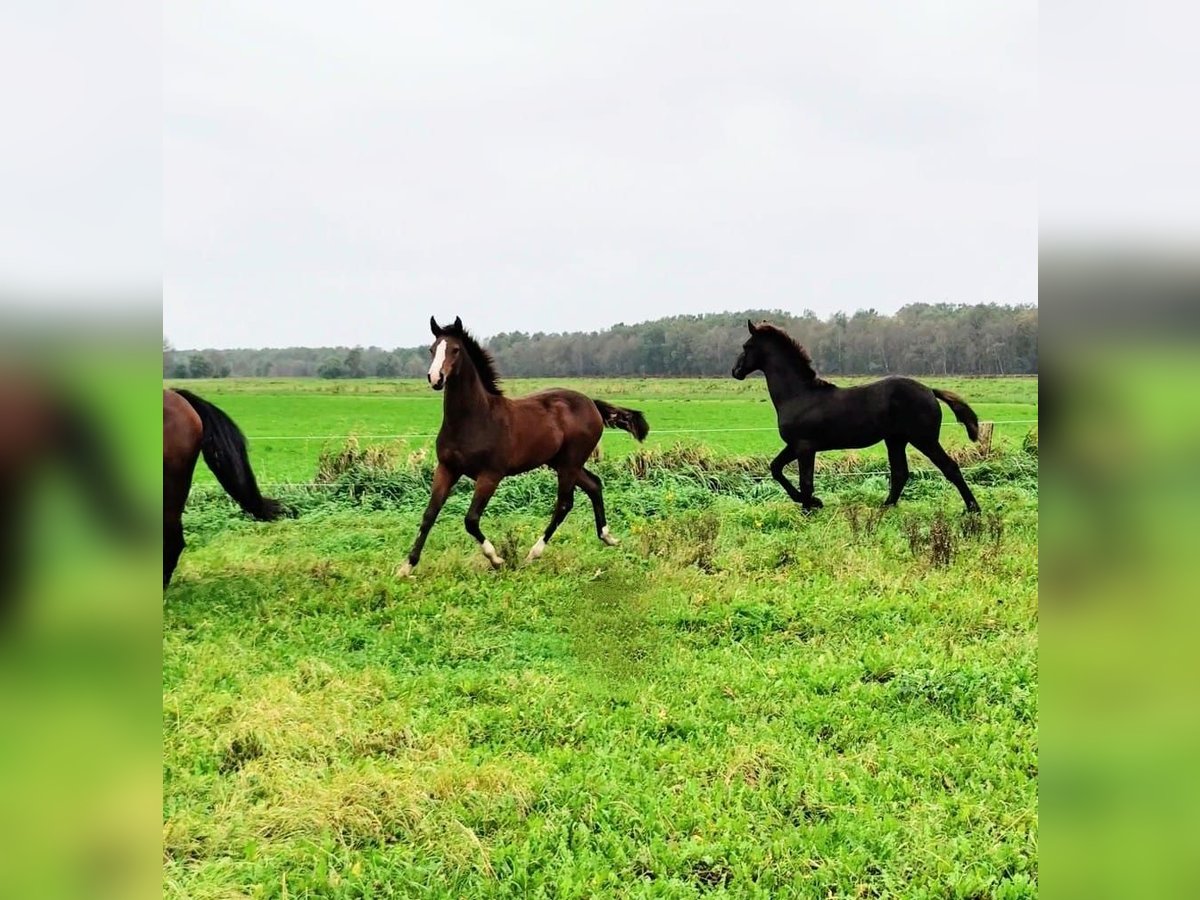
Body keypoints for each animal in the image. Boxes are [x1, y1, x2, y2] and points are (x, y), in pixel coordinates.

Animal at [398, 316, 648, 578]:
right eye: (432, 349)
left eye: (455, 349)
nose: (436, 378)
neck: (474, 418)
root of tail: (592, 403)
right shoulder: (447, 468)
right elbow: (429, 514)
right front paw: (407, 566)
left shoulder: (490, 475)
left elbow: (471, 519)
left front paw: (497, 559)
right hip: (561, 462)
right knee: (594, 485)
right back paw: (608, 537)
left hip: (570, 463)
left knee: (564, 503)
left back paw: (533, 553)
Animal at [734, 321, 979, 513]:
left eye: (747, 346)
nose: (735, 372)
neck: (799, 395)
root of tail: (929, 390)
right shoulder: (795, 445)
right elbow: (776, 468)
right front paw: (813, 503)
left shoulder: (804, 447)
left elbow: (806, 482)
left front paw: (810, 507)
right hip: (895, 440)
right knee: (900, 473)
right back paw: (885, 507)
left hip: (924, 439)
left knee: (950, 468)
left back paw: (973, 509)